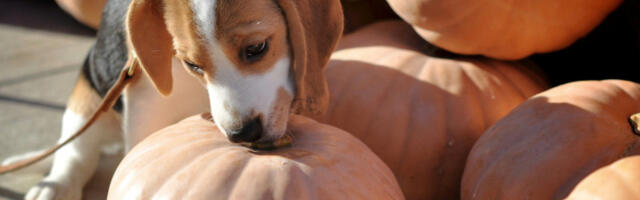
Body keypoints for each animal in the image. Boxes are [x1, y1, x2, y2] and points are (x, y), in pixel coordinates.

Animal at [2, 0, 342, 199]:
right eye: (192, 65)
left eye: (257, 48)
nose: (242, 134)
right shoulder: (145, 109)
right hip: (85, 101)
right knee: (76, 156)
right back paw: (56, 187)